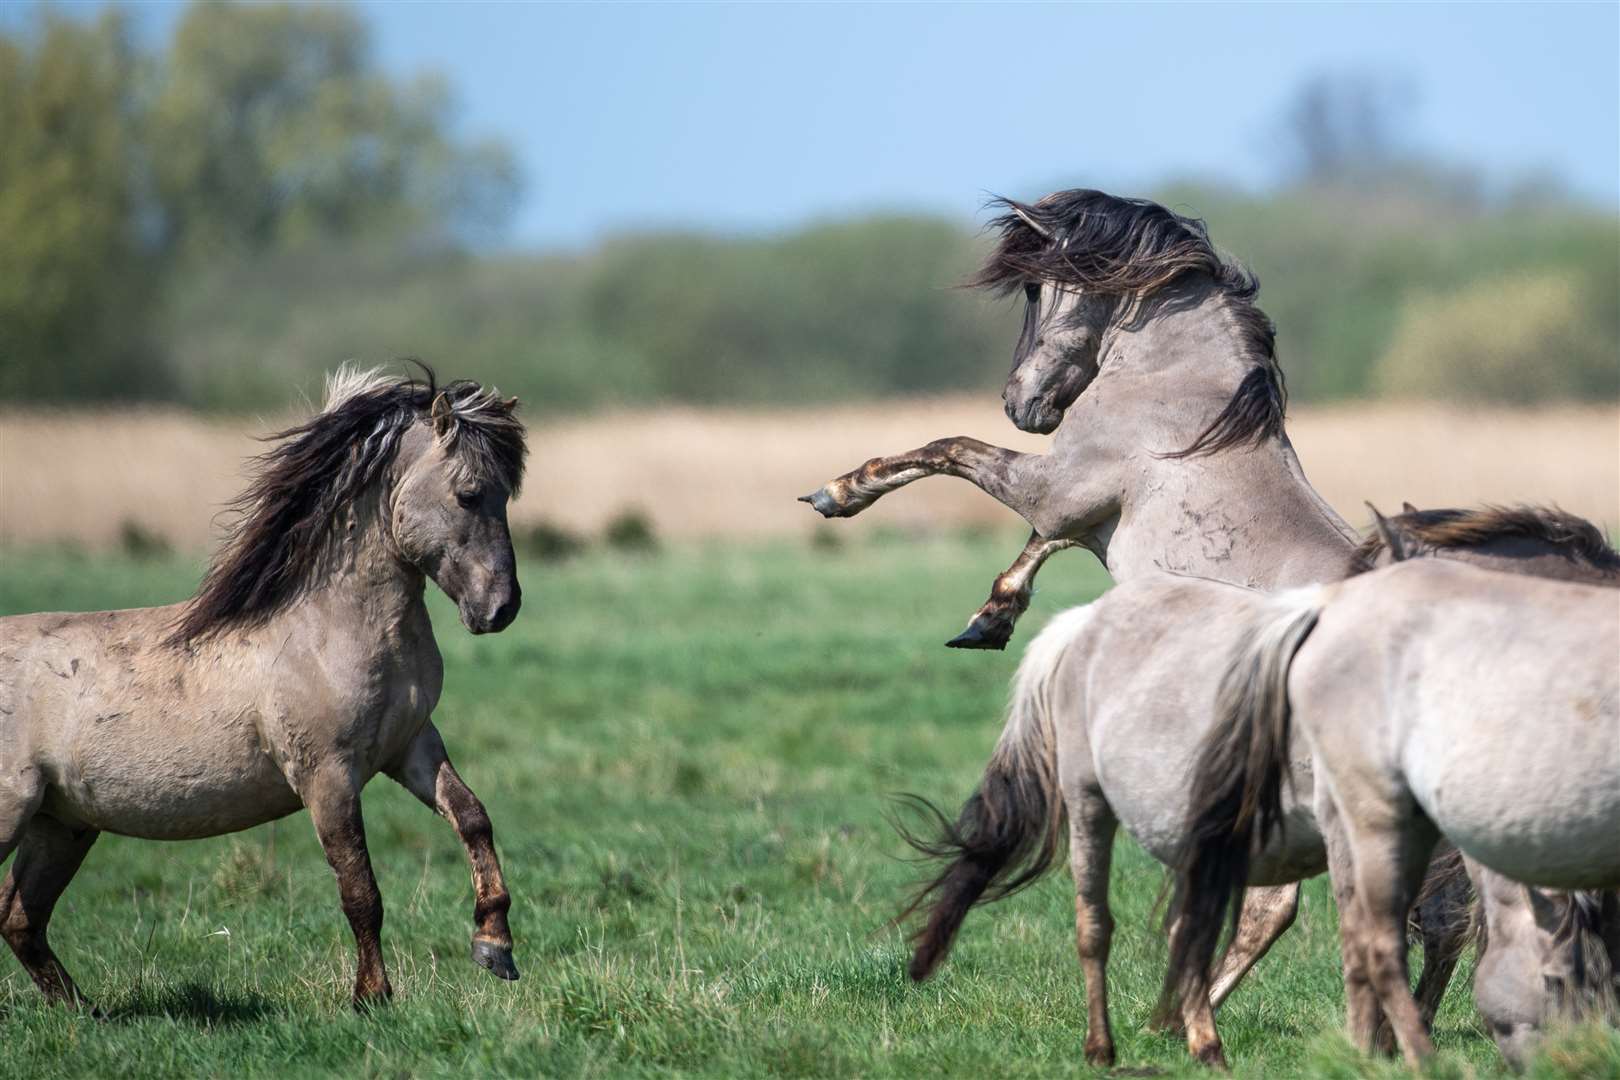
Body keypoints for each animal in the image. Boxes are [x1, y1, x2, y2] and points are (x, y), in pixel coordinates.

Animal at [0, 367, 524, 1010]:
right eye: (469, 493)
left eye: (507, 494)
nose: (500, 609)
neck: (327, 628)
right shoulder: (326, 776)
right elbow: (361, 892)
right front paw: (372, 998)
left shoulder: (410, 747)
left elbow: (472, 817)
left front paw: (493, 946)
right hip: (14, 813)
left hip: (62, 824)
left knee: (22, 920)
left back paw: (87, 1013)